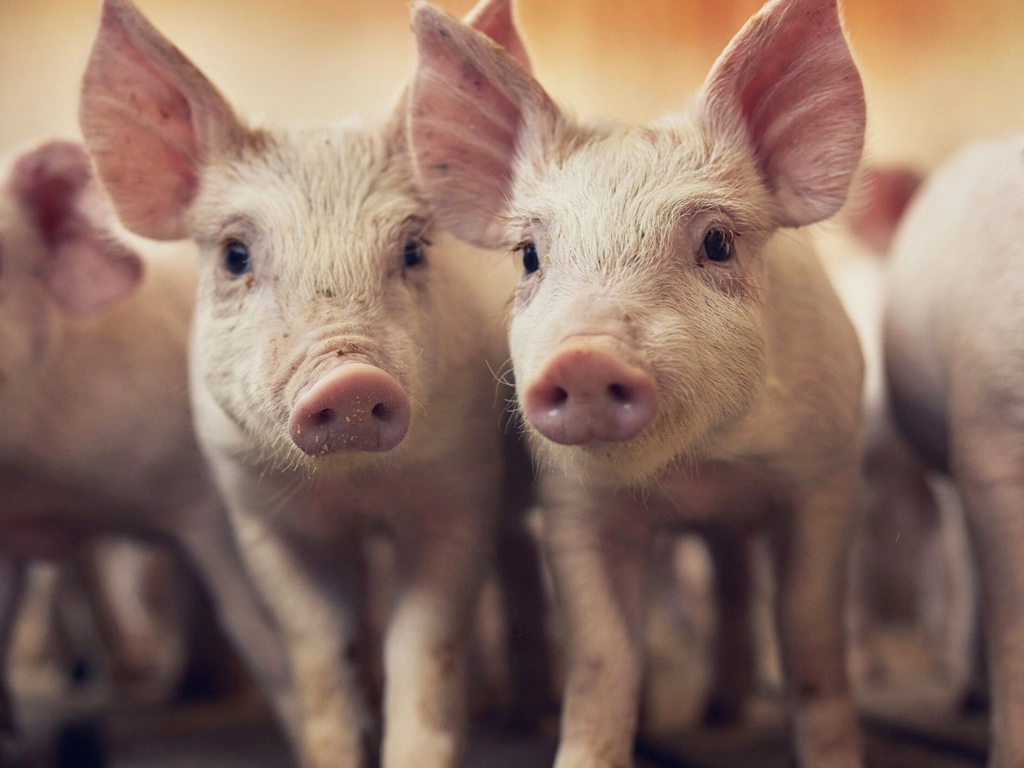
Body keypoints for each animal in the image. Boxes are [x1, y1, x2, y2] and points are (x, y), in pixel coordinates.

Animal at [78, 0, 549, 766]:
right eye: (236, 254)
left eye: (412, 249)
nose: (348, 380)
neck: (350, 491)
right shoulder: (258, 513)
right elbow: (321, 647)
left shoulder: (461, 486)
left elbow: (424, 644)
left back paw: (518, 719)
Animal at [406, 0, 869, 765]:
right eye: (529, 255)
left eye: (717, 242)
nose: (584, 360)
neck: (701, 469)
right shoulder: (575, 503)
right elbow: (604, 657)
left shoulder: (826, 474)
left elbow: (809, 636)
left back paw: (720, 714)